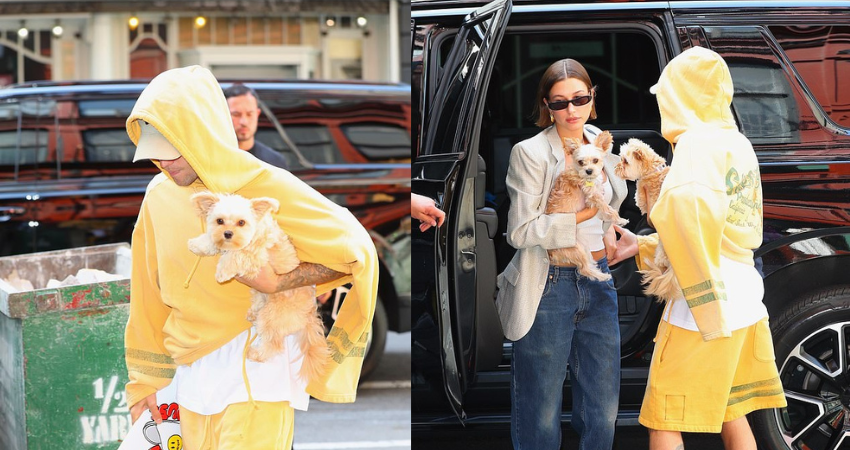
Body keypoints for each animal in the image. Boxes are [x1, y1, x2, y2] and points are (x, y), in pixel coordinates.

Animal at [187, 192, 330, 384]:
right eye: (219, 221)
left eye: (241, 222)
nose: (228, 234)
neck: (253, 233)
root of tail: (308, 315)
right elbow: (212, 240)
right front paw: (197, 244)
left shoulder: (255, 258)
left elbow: (236, 255)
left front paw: (222, 271)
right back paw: (253, 313)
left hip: (271, 317)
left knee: (273, 343)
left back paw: (256, 353)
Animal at [548, 128, 628, 282]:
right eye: (580, 162)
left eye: (595, 160)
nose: (589, 170)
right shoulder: (593, 196)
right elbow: (608, 208)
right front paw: (619, 219)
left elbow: (605, 209)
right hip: (576, 249)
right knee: (584, 269)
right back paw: (602, 275)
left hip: (583, 247)